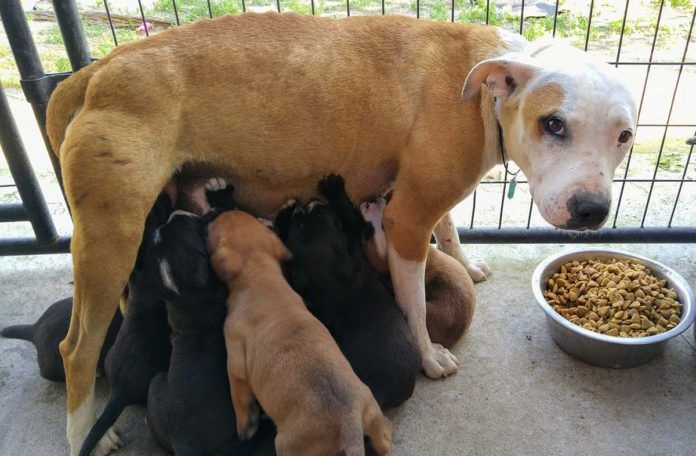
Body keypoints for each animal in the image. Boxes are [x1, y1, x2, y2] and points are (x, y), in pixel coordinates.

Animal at [144, 212, 272, 454]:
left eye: (169, 226)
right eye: (192, 226)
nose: (177, 212)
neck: (187, 295)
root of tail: (184, 438)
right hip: (156, 381)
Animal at [207, 211, 392, 456]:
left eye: (214, 228)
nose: (214, 213)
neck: (262, 276)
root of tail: (348, 420)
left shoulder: (235, 356)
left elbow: (238, 393)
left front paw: (245, 426)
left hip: (287, 445)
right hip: (371, 409)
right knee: (383, 441)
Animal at [276, 175, 422, 410]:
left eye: (300, 222)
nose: (311, 203)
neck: (329, 278)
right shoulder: (353, 237)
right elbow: (349, 215)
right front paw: (331, 186)